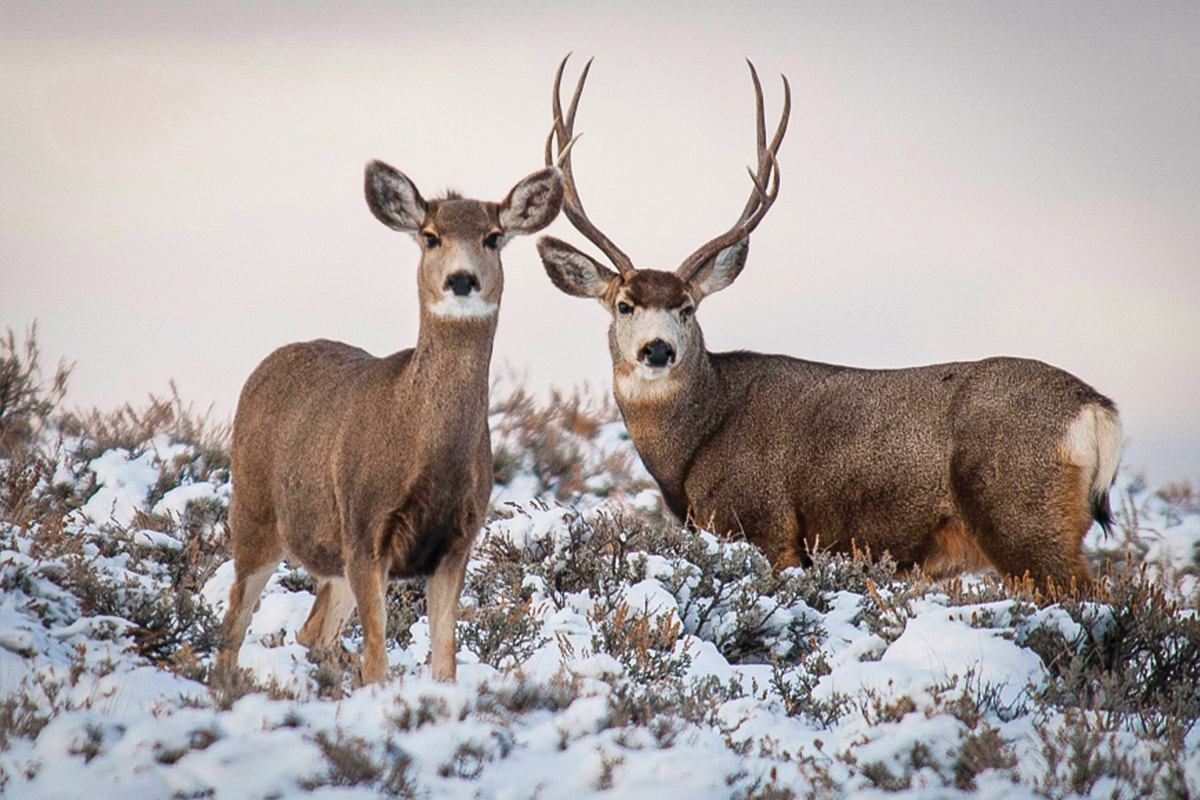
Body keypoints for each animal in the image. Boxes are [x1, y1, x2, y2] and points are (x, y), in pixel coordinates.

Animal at [218, 160, 564, 681]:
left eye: (493, 237)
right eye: (430, 236)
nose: (461, 280)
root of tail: (264, 366)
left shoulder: (457, 541)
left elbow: (444, 661)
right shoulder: (365, 527)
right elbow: (377, 660)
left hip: (329, 557)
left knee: (312, 631)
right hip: (255, 512)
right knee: (233, 626)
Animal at [540, 56, 1118, 592]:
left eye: (688, 307)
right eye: (624, 305)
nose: (658, 349)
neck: (695, 441)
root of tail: (1097, 409)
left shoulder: (764, 522)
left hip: (1022, 513)